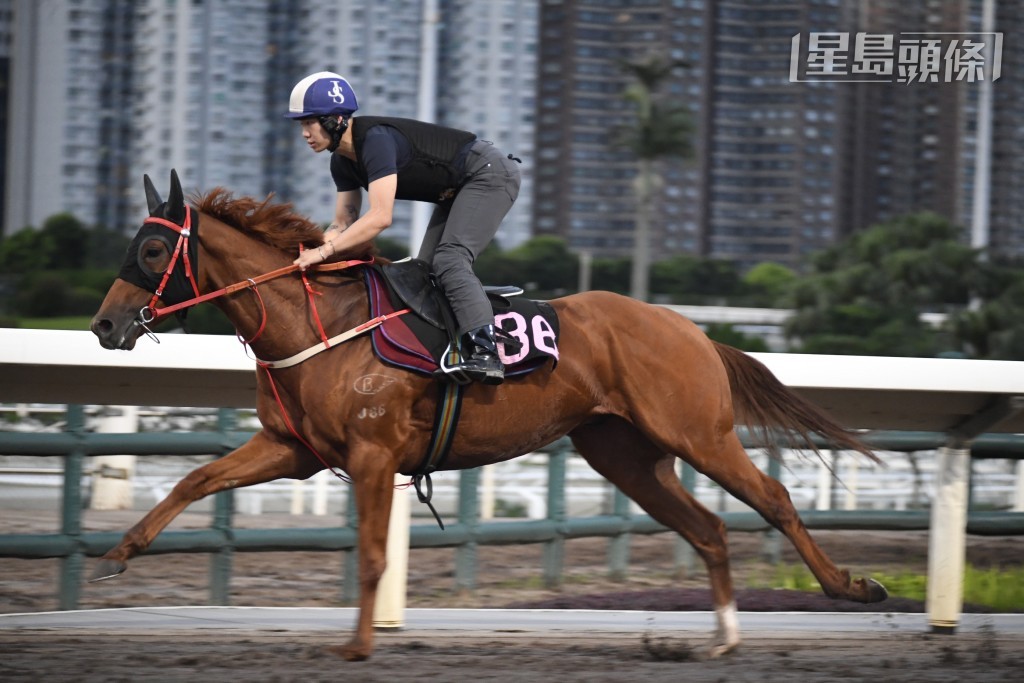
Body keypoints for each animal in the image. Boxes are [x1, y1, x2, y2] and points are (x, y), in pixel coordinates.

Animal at [90, 170, 887, 661]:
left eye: (152, 247)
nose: (104, 325)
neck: (320, 323)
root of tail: (689, 328)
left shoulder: (373, 455)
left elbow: (373, 554)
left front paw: (358, 645)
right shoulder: (295, 448)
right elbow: (194, 480)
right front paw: (118, 553)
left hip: (698, 432)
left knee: (773, 499)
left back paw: (851, 588)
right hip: (624, 454)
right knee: (709, 528)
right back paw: (723, 638)